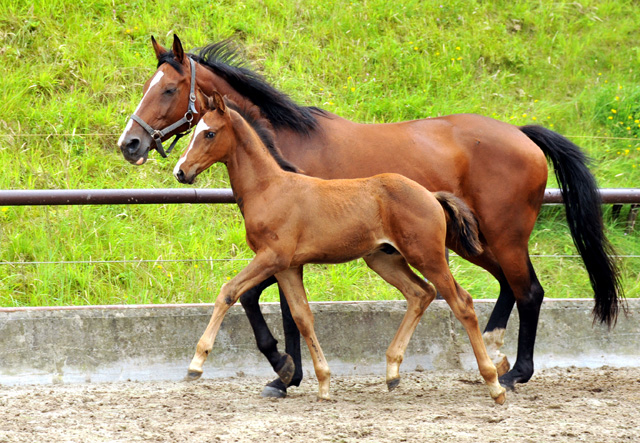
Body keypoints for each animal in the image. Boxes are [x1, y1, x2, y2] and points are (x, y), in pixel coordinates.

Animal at [174, 92, 504, 404]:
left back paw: (494, 383)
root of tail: (431, 195)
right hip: (384, 260)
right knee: (421, 293)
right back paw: (392, 372)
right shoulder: (288, 266)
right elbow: (302, 317)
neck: (269, 188)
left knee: (462, 303)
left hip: (428, 256)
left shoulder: (272, 257)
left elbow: (228, 292)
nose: (180, 171)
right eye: (193, 130)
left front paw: (196, 364)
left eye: (209, 133)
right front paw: (322, 383)